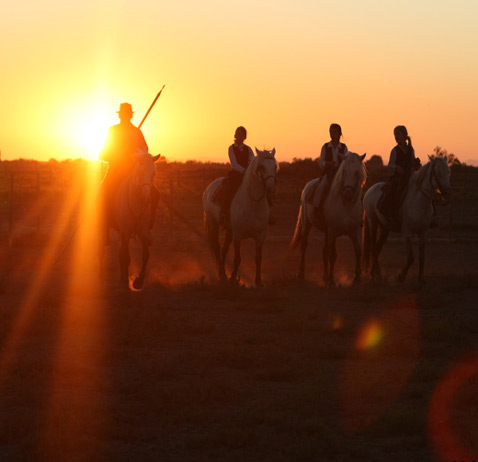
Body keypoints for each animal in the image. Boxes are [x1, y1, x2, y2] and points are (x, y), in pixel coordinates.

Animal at [99, 152, 161, 288]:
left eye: (153, 173)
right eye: (139, 172)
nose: (146, 198)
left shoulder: (143, 231)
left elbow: (145, 254)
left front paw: (138, 281)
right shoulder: (125, 230)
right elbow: (126, 256)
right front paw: (126, 282)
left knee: (120, 253)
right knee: (102, 251)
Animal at [204, 149, 278, 286]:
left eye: (275, 166)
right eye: (261, 167)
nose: (271, 189)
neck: (252, 202)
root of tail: (208, 188)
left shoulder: (260, 236)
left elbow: (258, 258)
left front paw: (258, 281)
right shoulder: (238, 236)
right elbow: (237, 258)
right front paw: (233, 278)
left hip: (229, 231)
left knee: (224, 249)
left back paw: (224, 274)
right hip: (213, 224)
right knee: (217, 247)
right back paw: (222, 275)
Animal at [292, 153, 366, 286]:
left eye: (357, 172)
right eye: (344, 171)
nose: (348, 193)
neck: (346, 205)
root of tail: (308, 185)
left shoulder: (355, 231)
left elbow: (358, 251)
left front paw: (357, 279)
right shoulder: (333, 231)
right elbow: (333, 255)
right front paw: (332, 280)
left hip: (326, 232)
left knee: (324, 250)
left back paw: (324, 276)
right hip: (307, 224)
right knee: (304, 246)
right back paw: (301, 274)